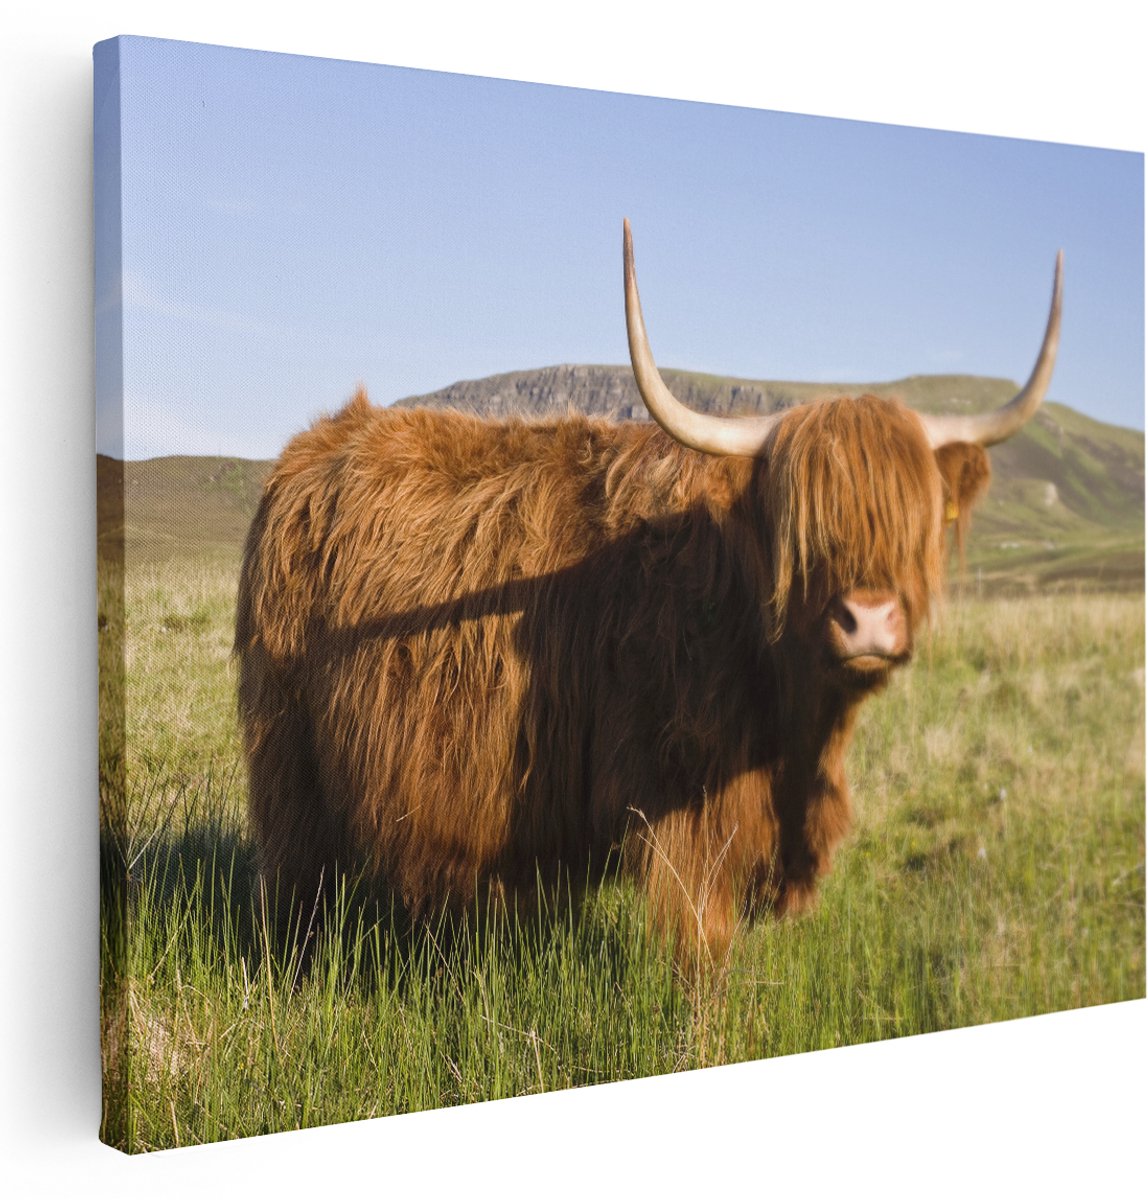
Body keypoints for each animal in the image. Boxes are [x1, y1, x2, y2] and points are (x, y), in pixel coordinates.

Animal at [235, 220, 1062, 968]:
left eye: (914, 519)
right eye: (797, 519)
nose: (869, 621)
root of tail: (316, 442)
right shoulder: (682, 807)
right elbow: (701, 960)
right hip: (284, 749)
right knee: (295, 881)